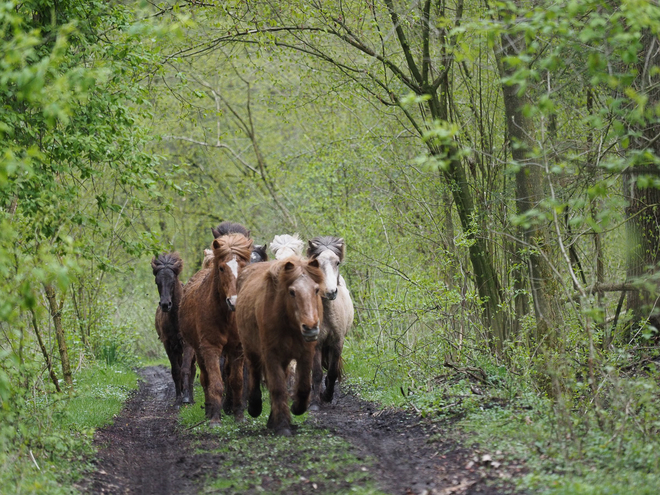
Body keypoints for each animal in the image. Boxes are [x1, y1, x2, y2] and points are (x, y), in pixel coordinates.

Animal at [152, 254, 196, 404]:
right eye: (157, 282)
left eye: (173, 281)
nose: (166, 304)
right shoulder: (168, 344)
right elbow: (176, 370)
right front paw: (178, 398)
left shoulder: (188, 344)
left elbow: (186, 369)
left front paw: (187, 398)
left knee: (193, 368)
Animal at [178, 234, 253, 424]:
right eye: (221, 268)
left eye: (244, 266)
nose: (234, 301)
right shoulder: (210, 349)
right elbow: (216, 383)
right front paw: (215, 419)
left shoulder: (237, 349)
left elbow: (236, 382)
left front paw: (239, 415)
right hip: (198, 350)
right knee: (205, 379)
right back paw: (209, 410)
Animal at [238, 258, 326, 436]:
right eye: (292, 292)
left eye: (316, 290)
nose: (311, 328)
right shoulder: (271, 355)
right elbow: (278, 388)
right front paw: (283, 425)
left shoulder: (305, 354)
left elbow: (303, 387)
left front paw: (297, 408)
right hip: (251, 350)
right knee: (255, 374)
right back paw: (255, 407)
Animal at [306, 236, 354, 410]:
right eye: (316, 263)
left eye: (337, 262)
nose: (331, 292)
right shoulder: (316, 344)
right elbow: (317, 372)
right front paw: (315, 402)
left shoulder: (337, 342)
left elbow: (332, 372)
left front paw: (327, 396)